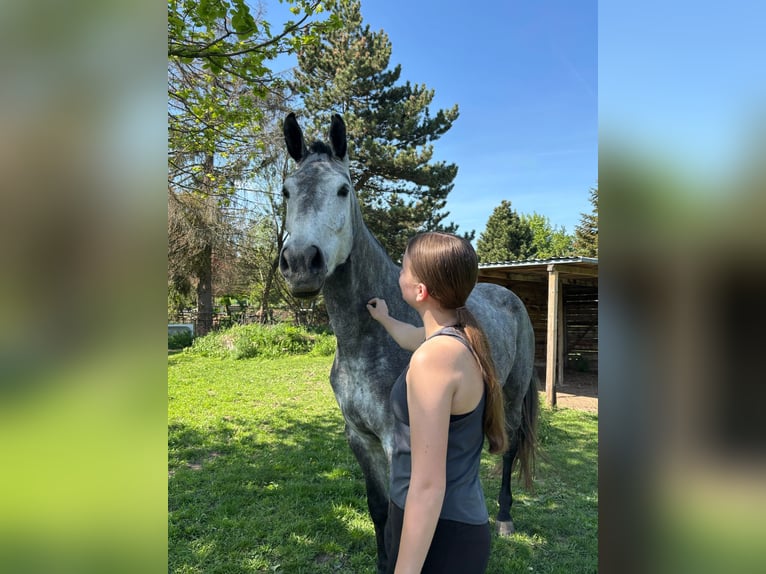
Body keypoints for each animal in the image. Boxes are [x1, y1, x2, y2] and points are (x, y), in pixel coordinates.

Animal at [279, 113, 538, 574]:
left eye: (343, 189)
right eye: (287, 191)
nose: (300, 263)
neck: (365, 341)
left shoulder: (398, 441)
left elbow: (405, 517)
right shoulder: (359, 438)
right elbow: (379, 510)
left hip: (511, 394)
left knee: (509, 449)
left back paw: (505, 517)